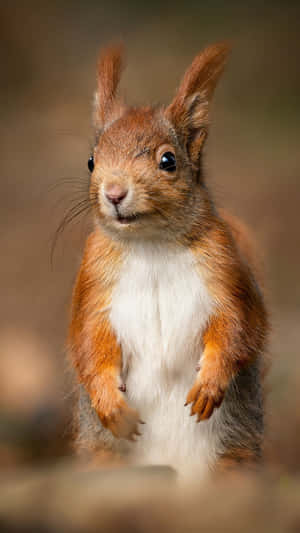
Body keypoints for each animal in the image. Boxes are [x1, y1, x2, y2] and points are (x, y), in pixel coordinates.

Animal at [69, 41, 268, 474]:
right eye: (91, 161)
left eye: (168, 161)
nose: (113, 193)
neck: (151, 245)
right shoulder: (94, 280)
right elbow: (88, 340)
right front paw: (109, 404)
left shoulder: (224, 266)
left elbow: (239, 326)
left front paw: (210, 383)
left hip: (234, 460)